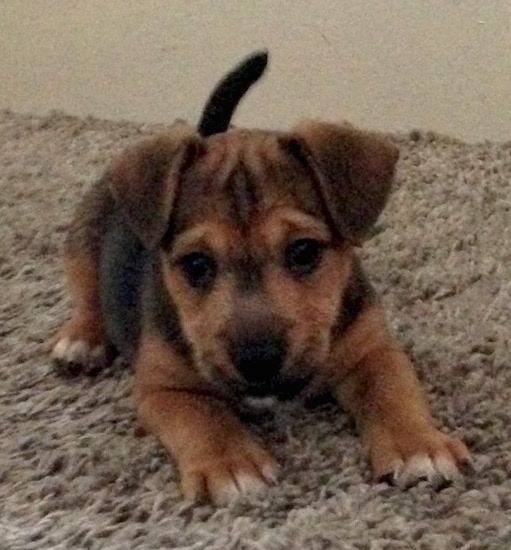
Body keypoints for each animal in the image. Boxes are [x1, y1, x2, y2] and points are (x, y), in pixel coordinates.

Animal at [50, 52, 470, 508]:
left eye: (304, 251)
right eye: (196, 264)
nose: (257, 360)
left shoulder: (373, 351)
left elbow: (394, 393)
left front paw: (419, 447)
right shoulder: (162, 389)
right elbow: (203, 415)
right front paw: (231, 464)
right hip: (82, 238)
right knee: (88, 295)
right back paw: (81, 341)